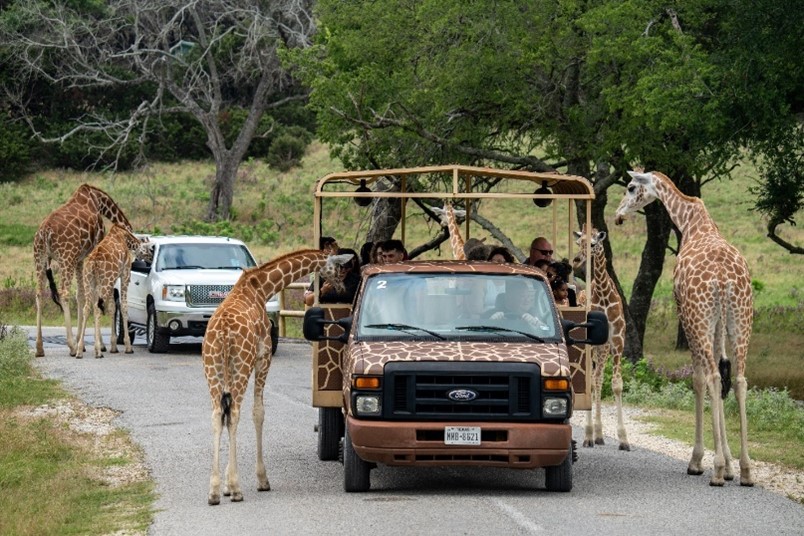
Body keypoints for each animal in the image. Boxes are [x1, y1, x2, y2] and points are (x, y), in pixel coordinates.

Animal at [32, 183, 132, 356]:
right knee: (64, 293)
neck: (99, 201)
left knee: (39, 294)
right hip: (66, 258)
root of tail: (45, 233)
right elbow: (93, 297)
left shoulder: (79, 259)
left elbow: (80, 295)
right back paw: (72, 346)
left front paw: (83, 343)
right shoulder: (91, 250)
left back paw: (39, 348)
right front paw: (99, 346)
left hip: (40, 259)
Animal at [74, 224, 149, 358]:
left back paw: (80, 351)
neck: (125, 237)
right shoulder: (125, 274)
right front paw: (128, 347)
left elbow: (112, 307)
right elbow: (123, 306)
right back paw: (98, 352)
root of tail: (94, 263)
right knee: (97, 309)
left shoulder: (112, 281)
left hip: (89, 282)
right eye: (146, 248)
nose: (150, 254)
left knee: (88, 308)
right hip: (105, 282)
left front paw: (114, 346)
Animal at [201, 249, 352, 504]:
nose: (341, 289)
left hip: (212, 368)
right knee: (234, 413)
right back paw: (237, 489)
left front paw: (225, 487)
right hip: (241, 365)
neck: (261, 287)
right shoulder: (263, 358)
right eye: (339, 268)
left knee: (217, 415)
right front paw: (260, 481)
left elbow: (232, 414)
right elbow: (258, 412)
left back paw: (213, 491)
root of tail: (222, 332)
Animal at [568, 224, 632, 450]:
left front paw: (623, 439)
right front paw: (589, 435)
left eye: (594, 243)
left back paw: (598, 434)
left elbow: (616, 384)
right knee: (593, 381)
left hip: (602, 349)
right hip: (592, 349)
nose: (577, 260)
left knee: (598, 379)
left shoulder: (618, 340)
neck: (604, 295)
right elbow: (590, 384)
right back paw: (592, 434)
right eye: (579, 242)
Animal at [616, 170, 752, 488]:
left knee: (712, 377)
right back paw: (746, 470)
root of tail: (723, 279)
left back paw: (715, 470)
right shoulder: (718, 324)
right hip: (740, 318)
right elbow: (722, 378)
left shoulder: (684, 312)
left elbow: (699, 380)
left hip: (698, 318)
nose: (618, 215)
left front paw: (701, 461)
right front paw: (730, 465)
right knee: (739, 380)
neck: (691, 223)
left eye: (631, 187)